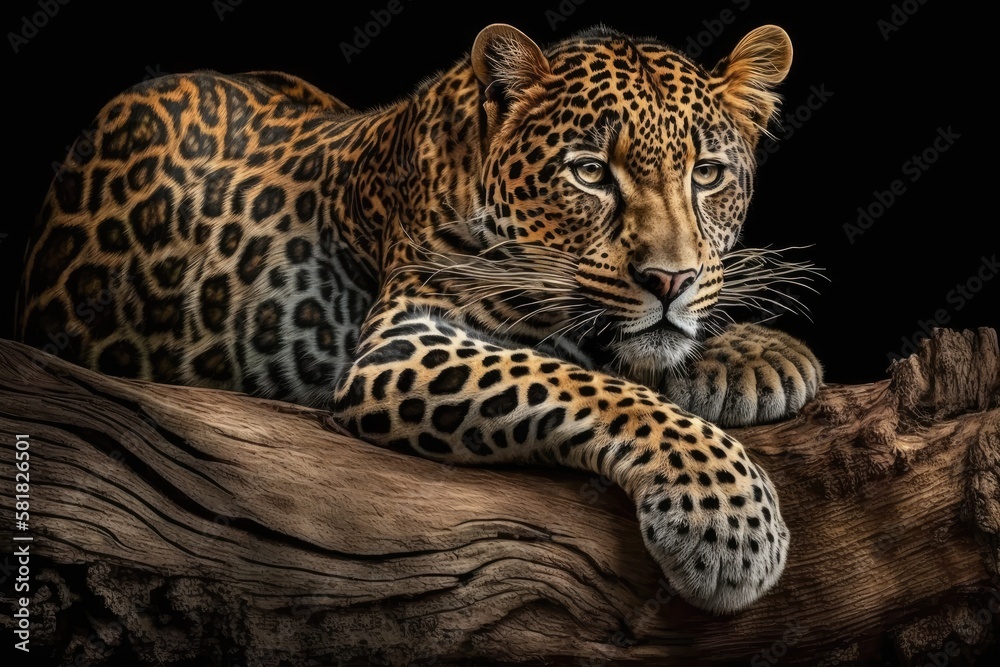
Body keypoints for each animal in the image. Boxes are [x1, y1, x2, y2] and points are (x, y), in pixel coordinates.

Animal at [16, 23, 822, 614]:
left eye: (707, 175)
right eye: (590, 172)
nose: (669, 280)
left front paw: (756, 356)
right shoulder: (403, 343)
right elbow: (584, 382)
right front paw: (730, 519)